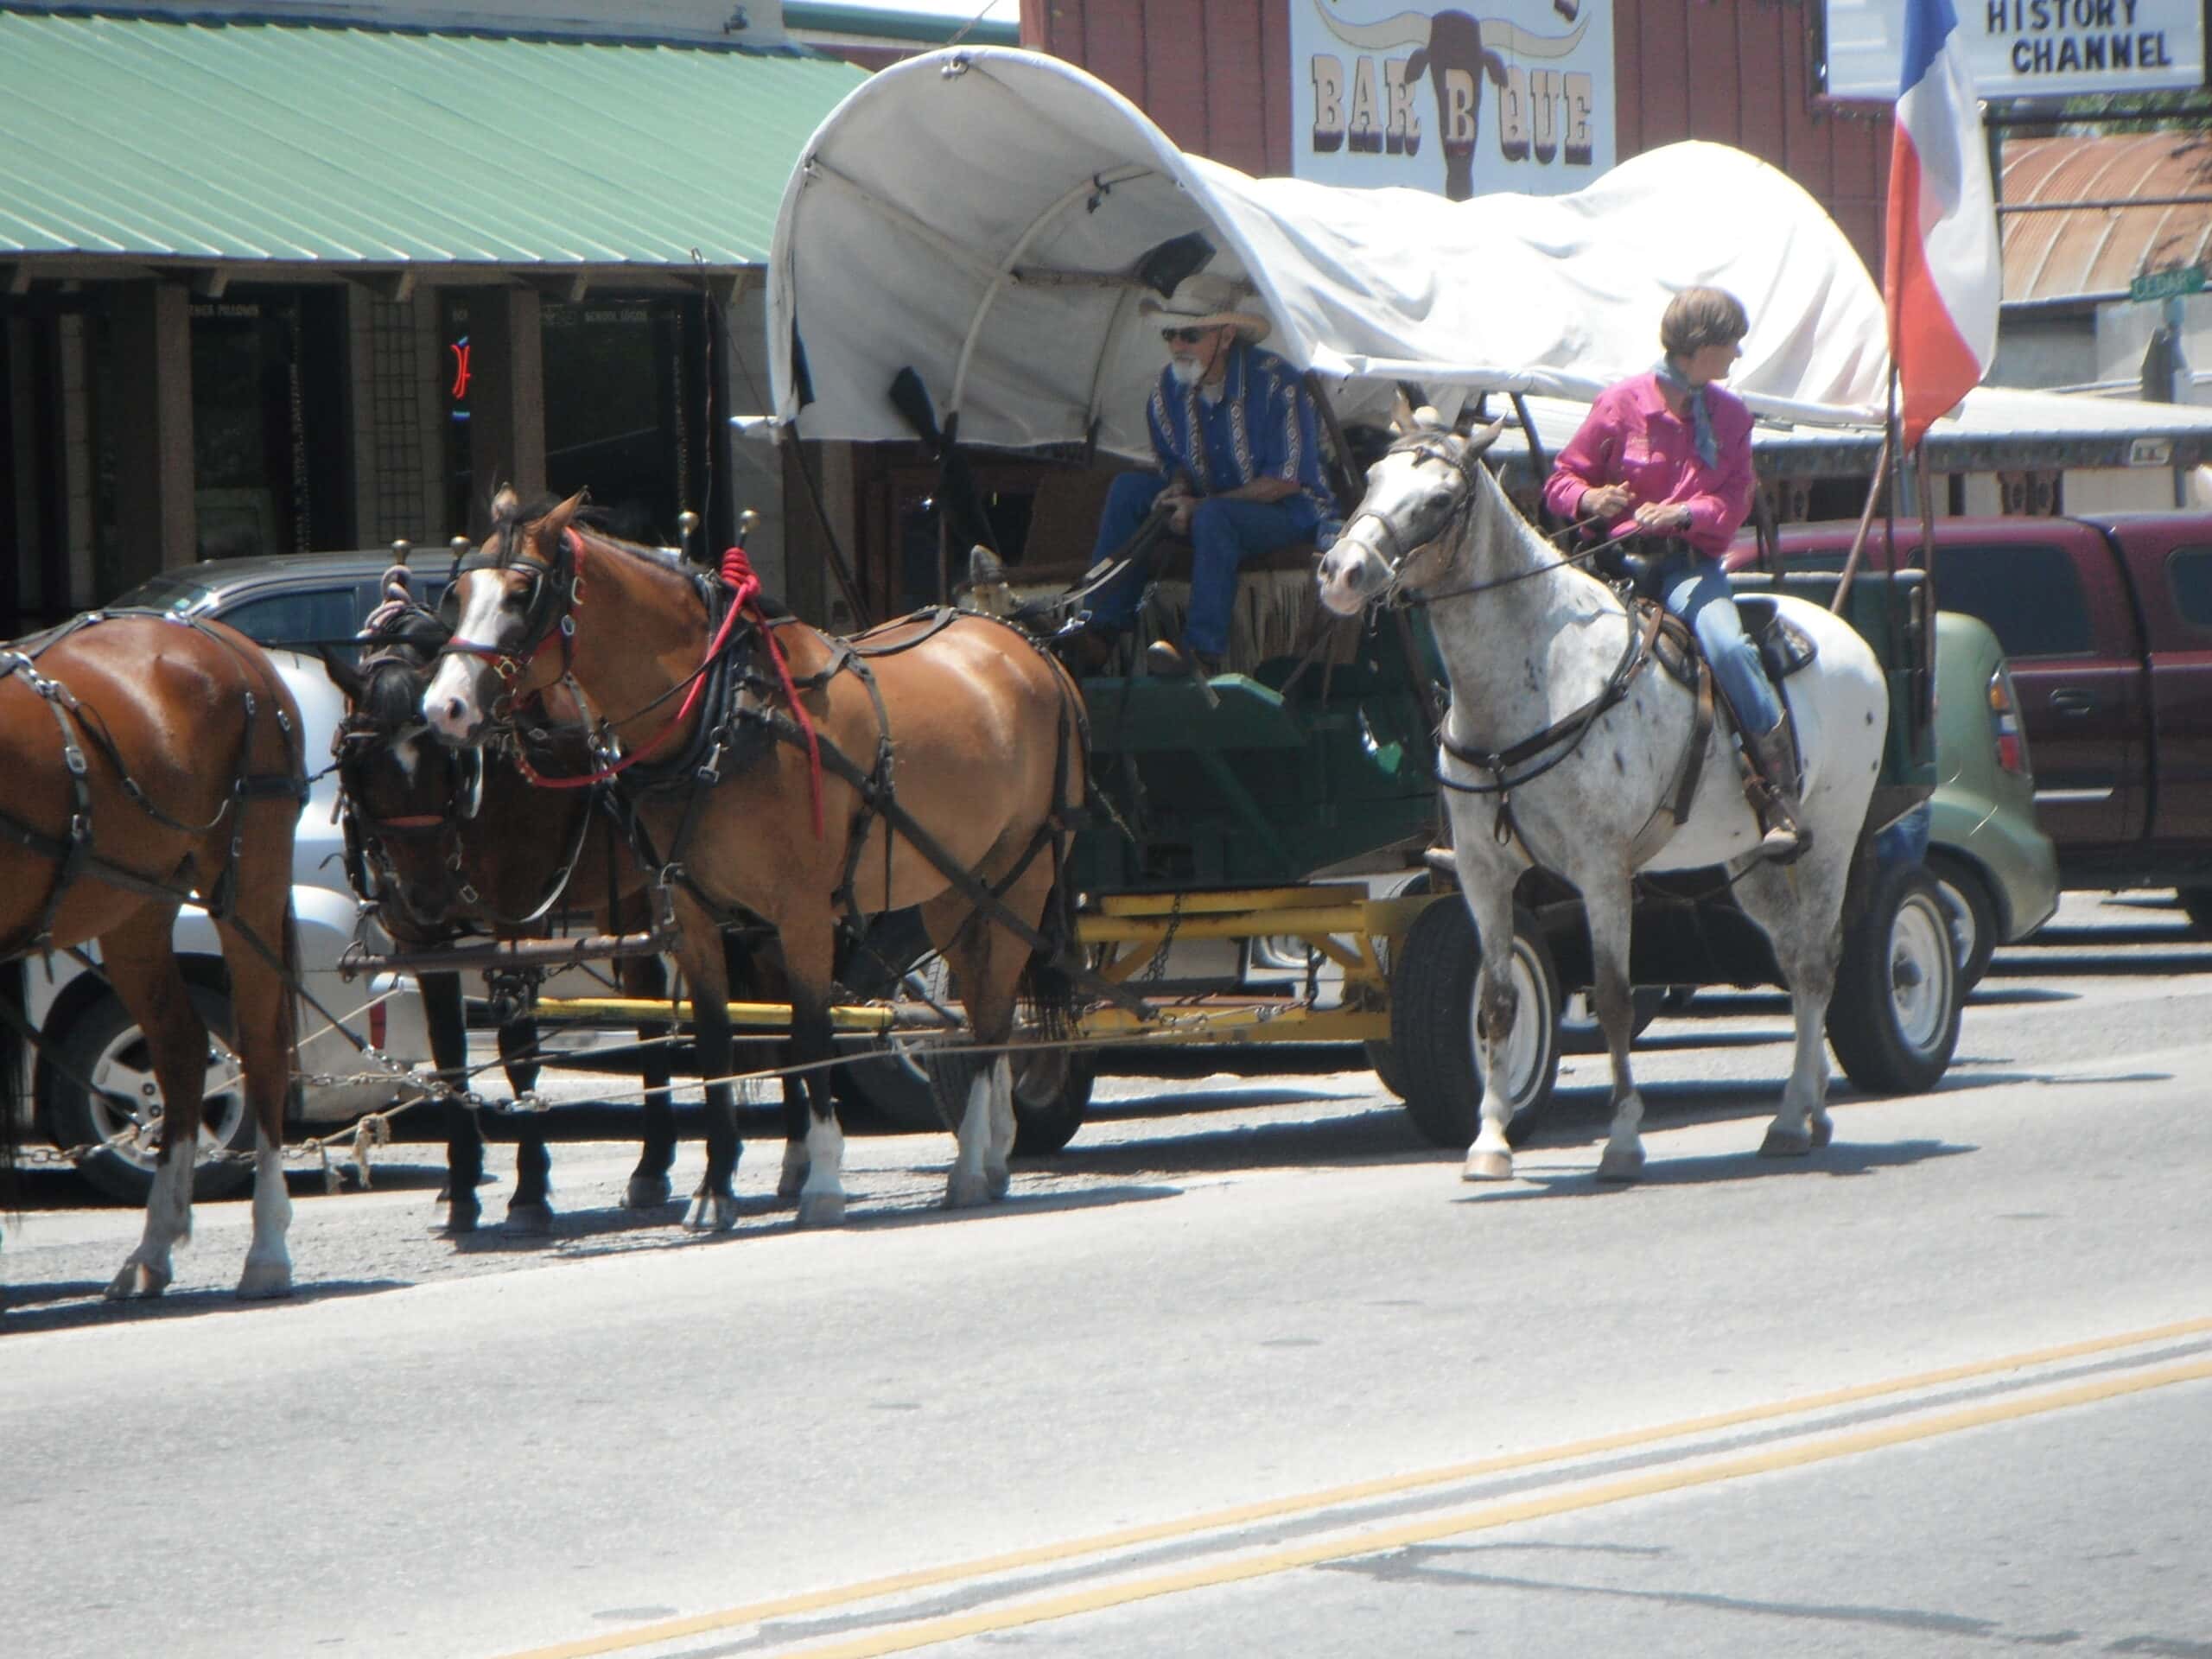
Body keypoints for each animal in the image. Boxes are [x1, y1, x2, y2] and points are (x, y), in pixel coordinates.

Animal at [0, 606, 302, 1300]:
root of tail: (236, 646)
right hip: (135, 907)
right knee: (182, 1050)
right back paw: (153, 1248)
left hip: (249, 884)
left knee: (264, 1050)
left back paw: (267, 1253)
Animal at [417, 493, 1084, 1238]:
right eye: (457, 595)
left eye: (521, 594)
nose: (443, 708)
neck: (726, 717)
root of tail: (1025, 646)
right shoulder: (694, 915)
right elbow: (715, 1041)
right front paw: (715, 1190)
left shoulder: (802, 913)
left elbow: (810, 1032)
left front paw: (821, 1180)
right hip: (956, 889)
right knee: (979, 1000)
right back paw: (992, 1151)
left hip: (1025, 873)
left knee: (995, 1013)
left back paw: (969, 1164)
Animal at [1309, 422, 1885, 1185]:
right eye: (1372, 478)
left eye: (1437, 499)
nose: (1341, 573)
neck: (1532, 681)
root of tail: (1845, 635)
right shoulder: (1481, 874)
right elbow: (1497, 1003)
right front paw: (1490, 1142)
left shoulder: (1601, 872)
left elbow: (1612, 999)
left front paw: (1622, 1140)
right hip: (1751, 862)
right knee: (1794, 961)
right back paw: (1810, 1107)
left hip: (1833, 836)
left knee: (1818, 965)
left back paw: (1791, 1119)